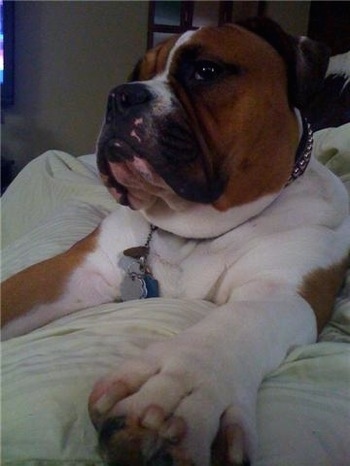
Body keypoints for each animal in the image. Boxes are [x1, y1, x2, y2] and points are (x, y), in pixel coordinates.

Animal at [2, 17, 350, 462]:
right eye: (137, 73)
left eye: (206, 71)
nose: (121, 95)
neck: (193, 230)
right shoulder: (72, 272)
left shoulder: (282, 294)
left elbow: (229, 328)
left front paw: (178, 390)